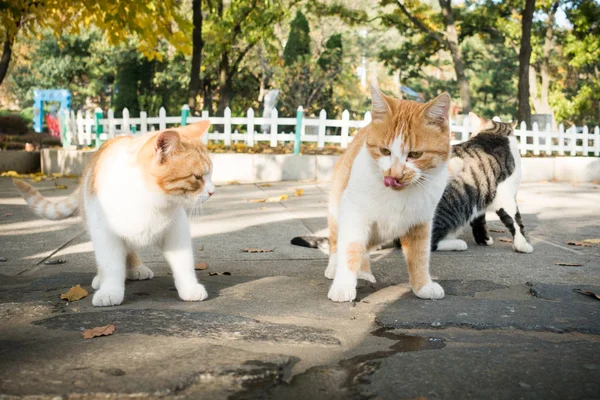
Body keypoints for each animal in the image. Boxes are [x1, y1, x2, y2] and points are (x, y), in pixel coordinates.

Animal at [12, 121, 216, 306]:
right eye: (197, 177)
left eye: (210, 175)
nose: (213, 192)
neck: (149, 200)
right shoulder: (105, 234)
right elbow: (111, 265)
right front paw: (109, 291)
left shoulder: (176, 231)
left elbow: (183, 262)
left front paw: (189, 288)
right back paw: (101, 278)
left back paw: (136, 267)